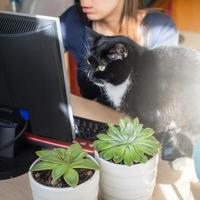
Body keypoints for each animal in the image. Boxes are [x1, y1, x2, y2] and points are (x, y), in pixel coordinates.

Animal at [85, 27, 200, 166]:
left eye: (102, 67)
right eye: (88, 61)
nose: (89, 76)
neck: (133, 73)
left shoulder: (154, 118)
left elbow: (150, 137)